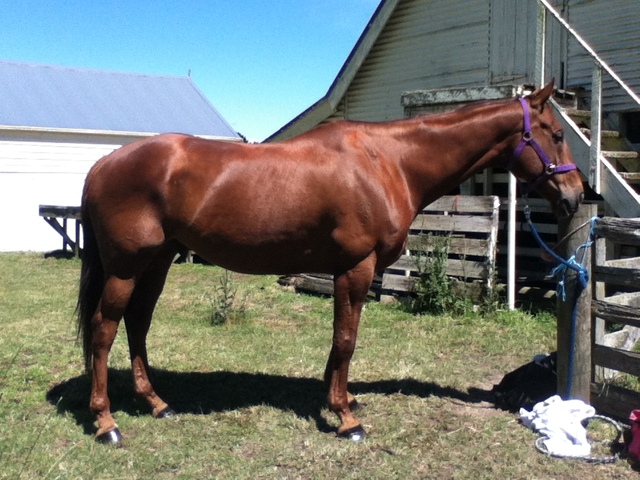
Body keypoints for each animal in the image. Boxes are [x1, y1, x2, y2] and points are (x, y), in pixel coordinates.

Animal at [76, 80, 583, 444]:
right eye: (557, 135)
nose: (576, 196)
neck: (388, 161)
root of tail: (104, 164)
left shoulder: (348, 269)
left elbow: (341, 340)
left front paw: (340, 399)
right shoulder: (356, 266)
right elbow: (346, 339)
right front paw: (345, 419)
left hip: (157, 262)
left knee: (138, 323)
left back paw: (156, 403)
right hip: (125, 267)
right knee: (104, 329)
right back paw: (106, 421)